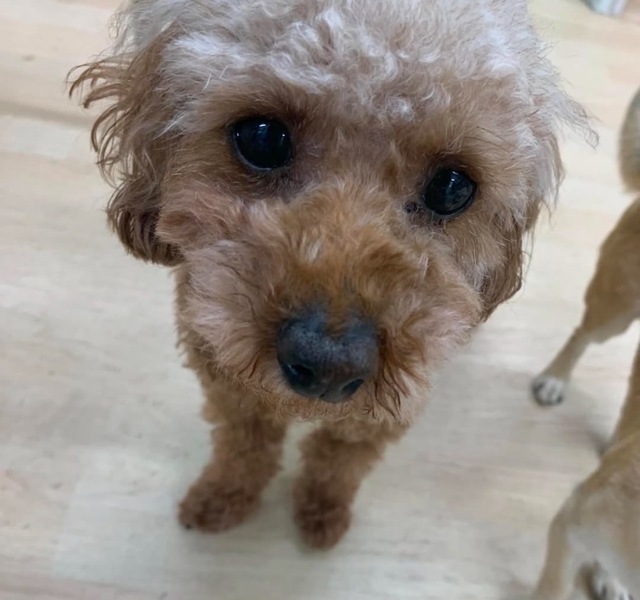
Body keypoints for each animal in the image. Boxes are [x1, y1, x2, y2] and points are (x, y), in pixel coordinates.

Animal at [71, 0, 588, 549]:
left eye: (453, 187)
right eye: (261, 138)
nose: (329, 368)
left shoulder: (381, 415)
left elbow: (338, 464)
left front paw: (321, 514)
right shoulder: (228, 385)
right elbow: (243, 448)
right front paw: (223, 497)